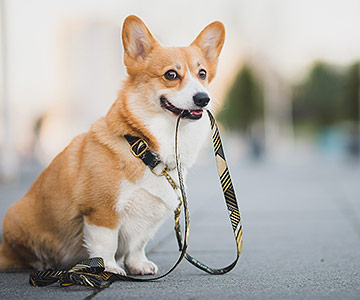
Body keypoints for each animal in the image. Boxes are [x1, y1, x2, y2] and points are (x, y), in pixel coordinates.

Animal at [0, 15, 225, 276]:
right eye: (171, 75)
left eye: (202, 73)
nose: (203, 98)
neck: (145, 149)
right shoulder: (101, 212)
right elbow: (106, 243)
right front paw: (107, 268)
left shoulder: (147, 219)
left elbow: (138, 243)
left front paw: (138, 265)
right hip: (15, 217)